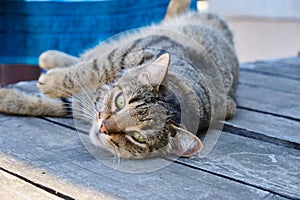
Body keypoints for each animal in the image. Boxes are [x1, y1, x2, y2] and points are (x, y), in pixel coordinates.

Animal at [0, 1, 239, 159]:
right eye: (121, 101)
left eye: (137, 137)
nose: (104, 127)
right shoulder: (123, 54)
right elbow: (91, 69)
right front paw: (51, 82)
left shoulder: (74, 105)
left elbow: (43, 103)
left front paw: (8, 97)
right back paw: (49, 57)